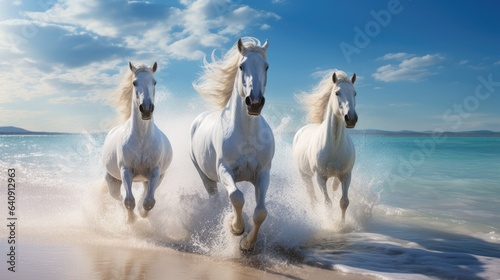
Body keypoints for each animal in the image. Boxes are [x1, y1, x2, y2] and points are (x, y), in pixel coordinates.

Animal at [100, 61, 173, 223]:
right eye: (134, 83)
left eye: (154, 82)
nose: (146, 109)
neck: (142, 139)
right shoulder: (125, 170)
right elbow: (128, 201)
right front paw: (131, 220)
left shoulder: (155, 171)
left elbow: (149, 201)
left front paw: (142, 213)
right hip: (113, 181)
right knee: (119, 198)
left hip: (155, 179)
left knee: (145, 193)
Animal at [190, 37, 276, 252]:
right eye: (241, 66)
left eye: (266, 66)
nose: (255, 102)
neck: (246, 135)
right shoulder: (224, 170)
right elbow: (237, 197)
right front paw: (236, 228)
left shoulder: (263, 173)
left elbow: (261, 212)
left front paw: (247, 244)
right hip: (206, 178)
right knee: (217, 198)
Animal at [292, 71, 360, 222]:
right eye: (337, 93)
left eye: (355, 93)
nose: (351, 118)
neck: (334, 146)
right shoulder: (320, 176)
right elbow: (327, 203)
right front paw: (330, 223)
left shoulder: (346, 175)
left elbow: (344, 202)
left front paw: (342, 224)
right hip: (305, 175)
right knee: (312, 196)